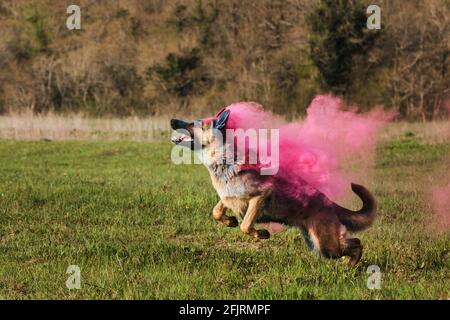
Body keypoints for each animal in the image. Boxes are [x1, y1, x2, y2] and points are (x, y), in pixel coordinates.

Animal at [171, 108, 374, 268]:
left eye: (195, 123)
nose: (172, 120)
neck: (223, 159)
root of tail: (330, 203)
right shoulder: (228, 197)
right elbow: (217, 211)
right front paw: (229, 221)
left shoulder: (261, 195)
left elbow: (246, 225)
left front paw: (261, 233)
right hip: (317, 244)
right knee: (349, 243)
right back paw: (348, 265)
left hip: (325, 245)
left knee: (357, 243)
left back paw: (350, 266)